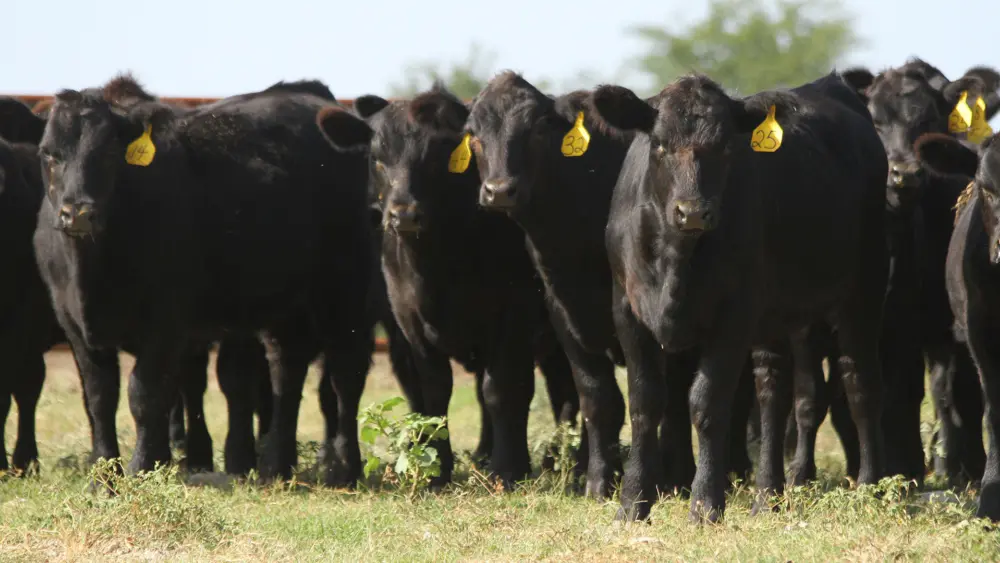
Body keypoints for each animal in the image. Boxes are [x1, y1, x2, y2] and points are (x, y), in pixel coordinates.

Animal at [32, 73, 376, 485]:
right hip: (284, 307)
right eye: (48, 154)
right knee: (286, 374)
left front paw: (141, 467)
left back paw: (345, 469)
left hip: (345, 289)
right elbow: (99, 399)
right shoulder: (76, 326)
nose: (78, 212)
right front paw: (104, 476)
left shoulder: (166, 324)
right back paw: (276, 466)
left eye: (109, 154)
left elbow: (145, 394)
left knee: (345, 375)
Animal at [324, 84, 581, 486]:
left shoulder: (513, 317)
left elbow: (501, 389)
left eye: (436, 157)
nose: (403, 214)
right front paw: (437, 471)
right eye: (378, 159)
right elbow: (434, 393)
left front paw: (509, 468)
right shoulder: (410, 324)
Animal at [464, 71, 755, 499]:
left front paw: (672, 477)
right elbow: (598, 399)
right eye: (473, 134)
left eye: (537, 128)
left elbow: (673, 403)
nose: (499, 190)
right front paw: (600, 479)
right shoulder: (563, 312)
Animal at [590, 71, 888, 522]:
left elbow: (708, 403)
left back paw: (869, 488)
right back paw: (768, 495)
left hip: (860, 292)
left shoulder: (734, 314)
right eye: (658, 143)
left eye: (727, 146)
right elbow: (645, 402)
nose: (693, 211)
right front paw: (633, 503)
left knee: (859, 382)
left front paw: (705, 503)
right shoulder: (626, 310)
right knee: (772, 394)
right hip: (778, 316)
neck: (677, 259)